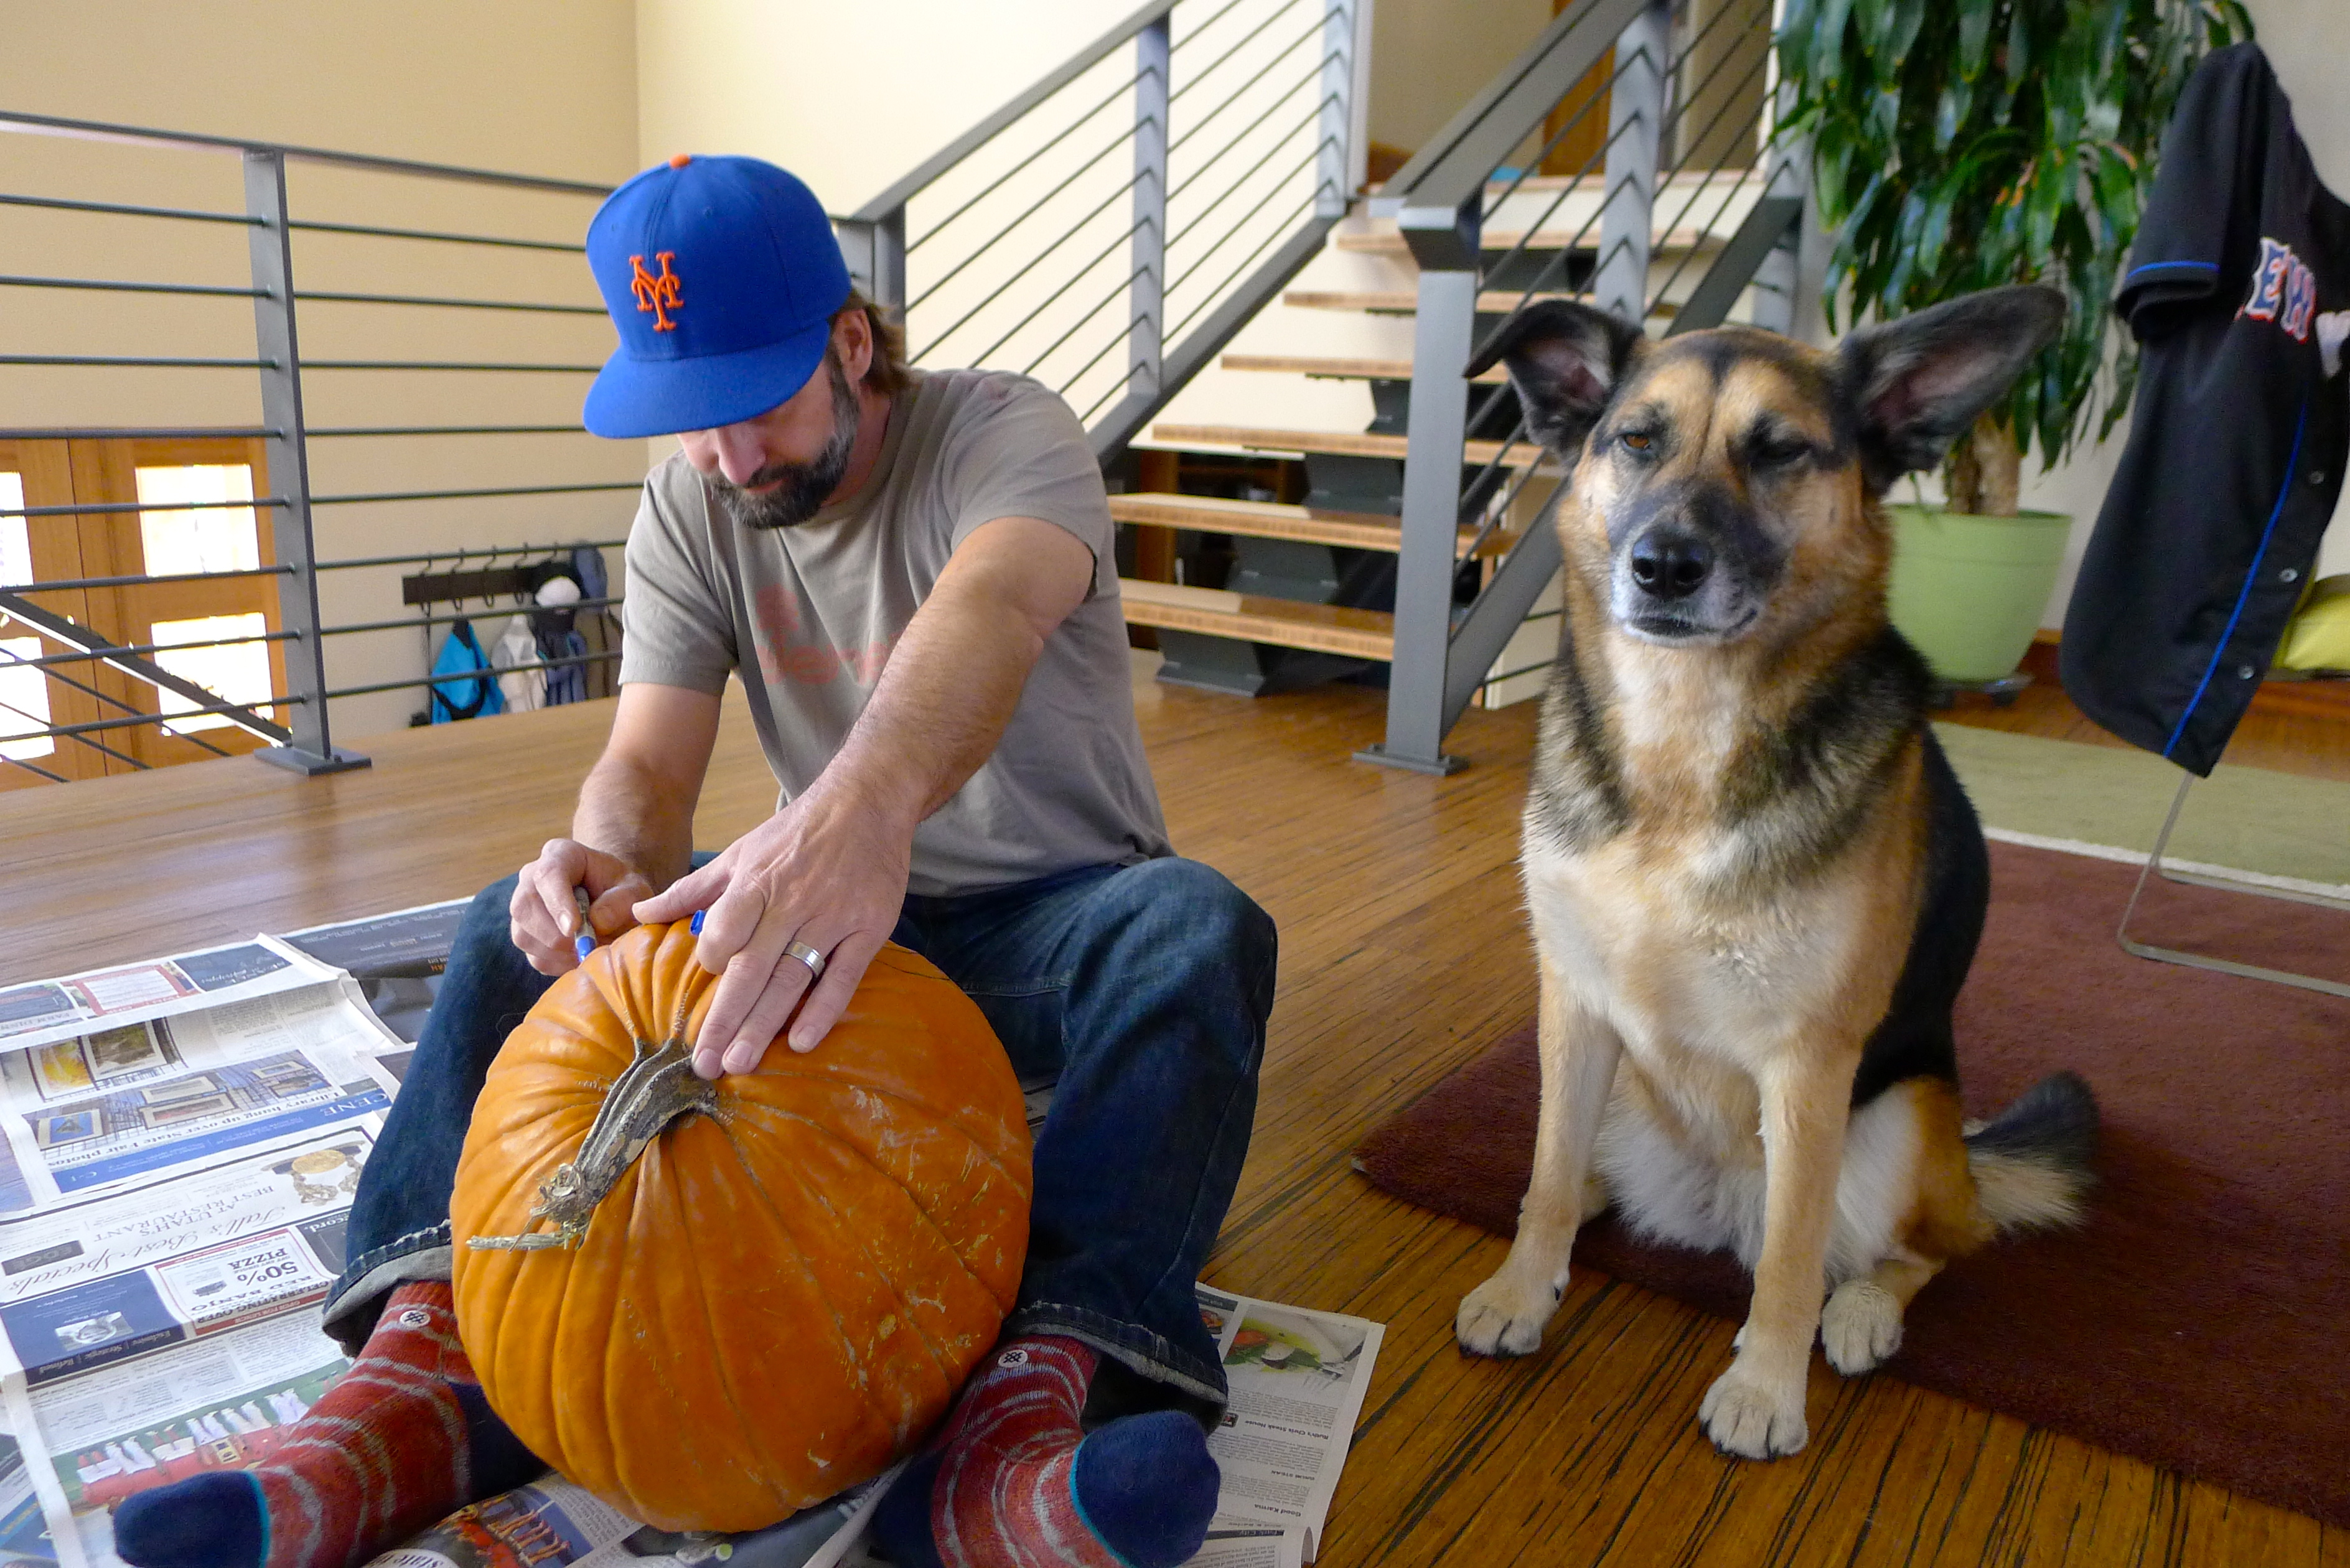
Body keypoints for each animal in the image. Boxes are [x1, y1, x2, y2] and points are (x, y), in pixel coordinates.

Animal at [1451, 285, 2099, 1459]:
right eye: (1636, 440)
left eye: (1782, 451)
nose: (1663, 565)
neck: (1682, 745)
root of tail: (1715, 1204)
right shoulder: (1574, 1010)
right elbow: (1544, 1178)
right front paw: (1523, 1288)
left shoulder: (1807, 1068)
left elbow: (1793, 1265)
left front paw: (1764, 1389)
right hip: (1619, 1089)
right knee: (1583, 1176)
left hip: (1895, 1126)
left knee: (1928, 1247)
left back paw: (1863, 1313)